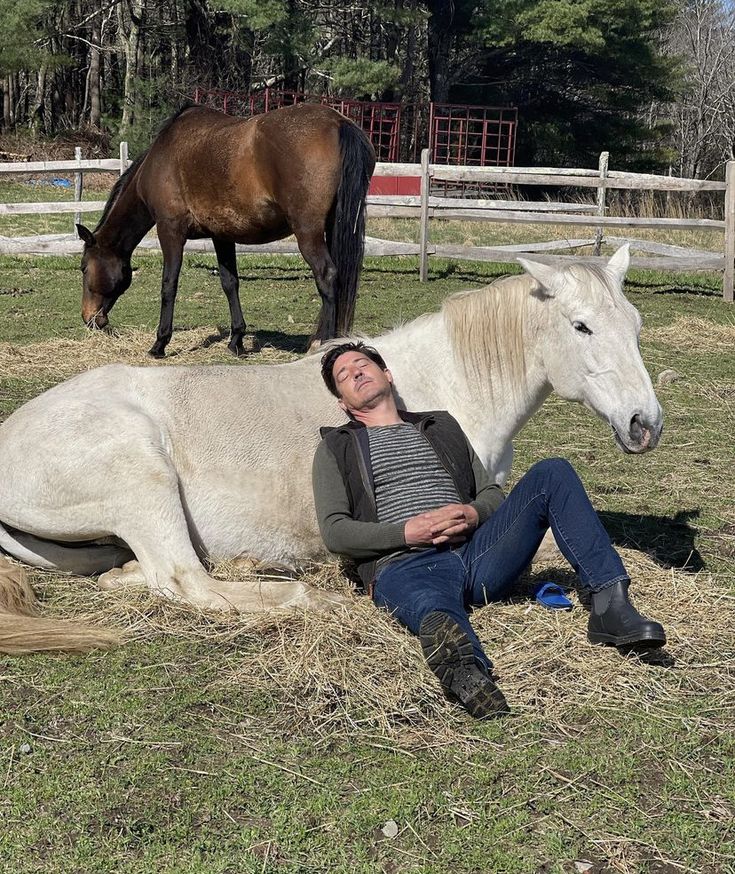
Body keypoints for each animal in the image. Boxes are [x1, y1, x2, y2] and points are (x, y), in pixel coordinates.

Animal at [0, 245, 660, 648]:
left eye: (635, 324)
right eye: (581, 326)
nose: (644, 424)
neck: (443, 381)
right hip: (144, 480)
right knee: (188, 582)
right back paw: (306, 598)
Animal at [77, 103, 376, 358]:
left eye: (83, 267)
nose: (89, 319)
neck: (161, 158)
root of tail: (338, 123)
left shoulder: (170, 231)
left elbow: (169, 285)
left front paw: (160, 343)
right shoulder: (221, 235)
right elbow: (230, 283)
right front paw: (236, 341)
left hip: (308, 233)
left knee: (327, 276)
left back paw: (322, 344)